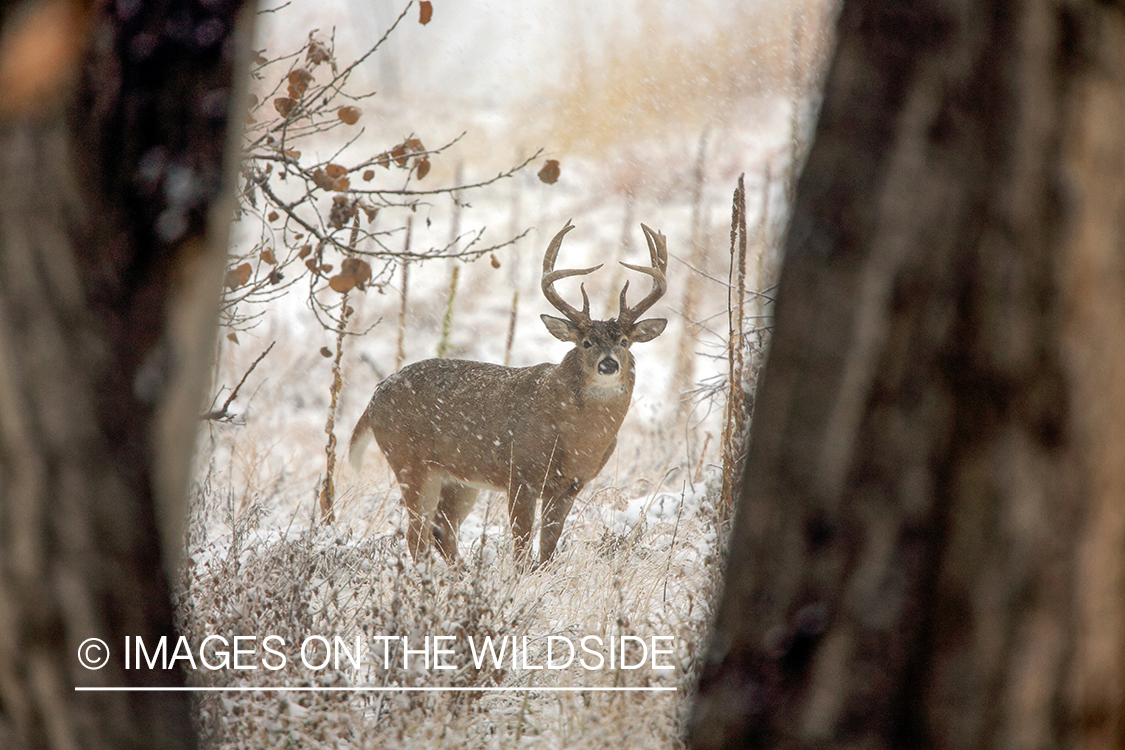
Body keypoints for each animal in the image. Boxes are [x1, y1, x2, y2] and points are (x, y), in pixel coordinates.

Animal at [351, 218, 661, 568]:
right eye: (585, 343)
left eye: (624, 341)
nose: (608, 364)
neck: (576, 436)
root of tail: (374, 398)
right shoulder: (521, 474)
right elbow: (521, 546)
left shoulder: (571, 484)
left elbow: (548, 548)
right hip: (410, 461)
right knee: (417, 535)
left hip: (460, 477)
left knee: (441, 529)